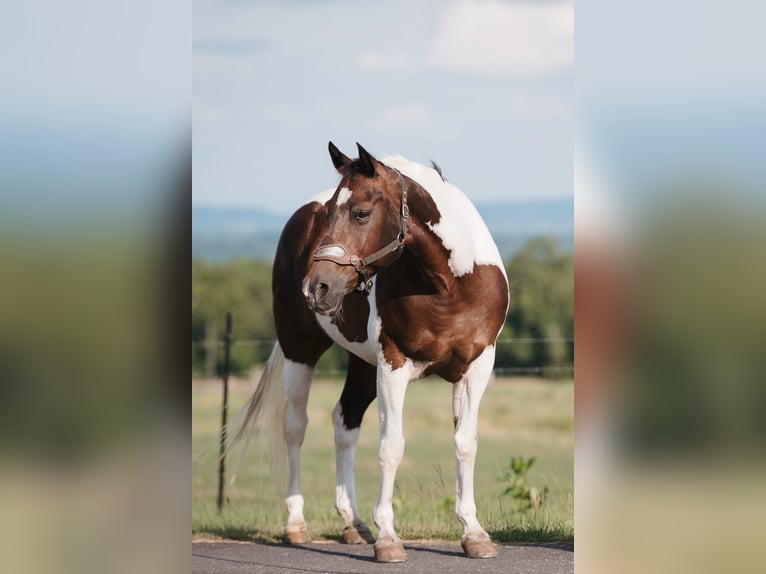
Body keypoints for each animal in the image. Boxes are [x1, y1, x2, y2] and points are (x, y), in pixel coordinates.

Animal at [236, 143, 510, 564]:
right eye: (328, 213)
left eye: (361, 213)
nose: (316, 287)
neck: (449, 285)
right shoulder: (393, 364)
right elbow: (391, 447)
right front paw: (388, 539)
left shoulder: (477, 367)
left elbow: (465, 444)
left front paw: (474, 534)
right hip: (301, 348)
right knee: (296, 427)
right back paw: (296, 524)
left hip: (362, 363)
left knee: (344, 421)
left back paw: (353, 524)